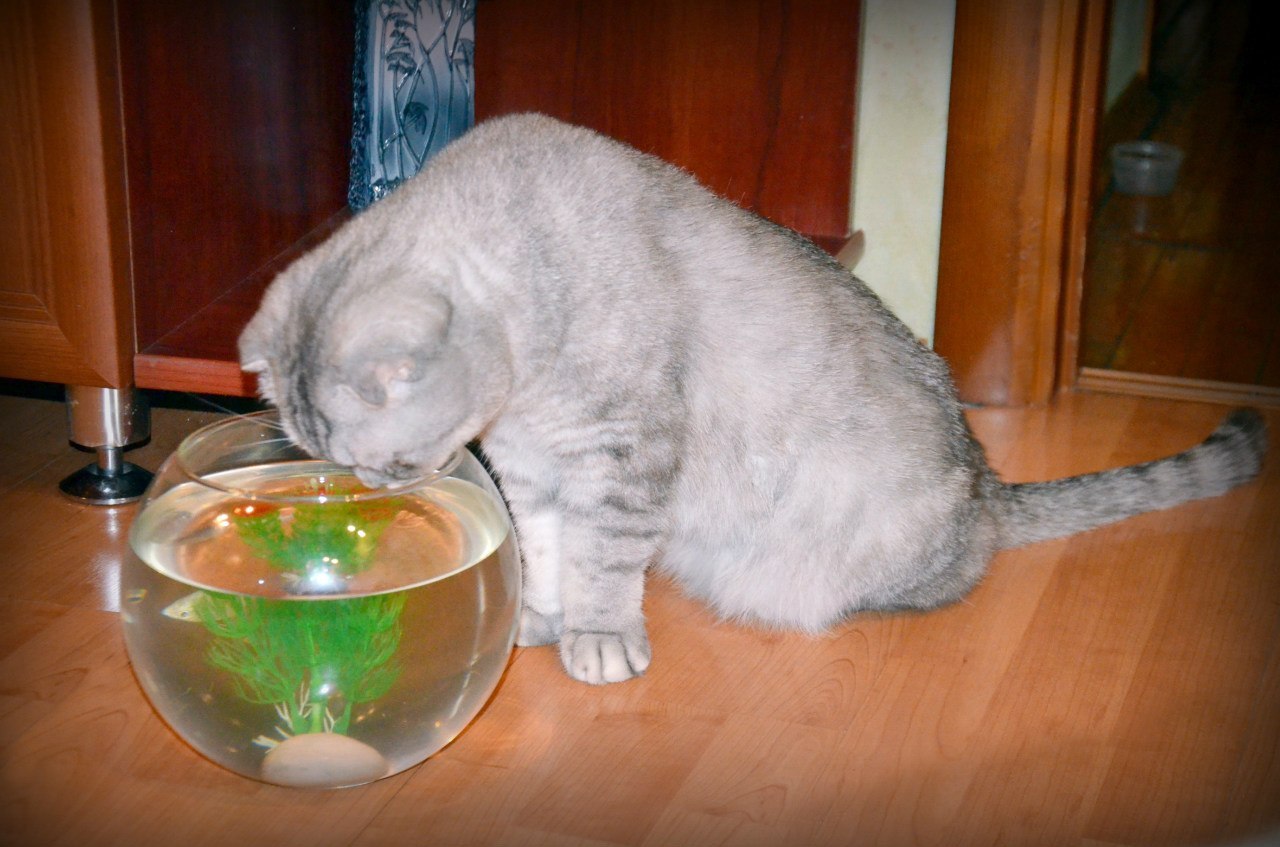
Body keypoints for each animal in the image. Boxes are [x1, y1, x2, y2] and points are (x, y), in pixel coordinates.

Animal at [241, 112, 1269, 685]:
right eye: (342, 467)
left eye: (391, 463)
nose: (383, 490)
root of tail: (987, 485)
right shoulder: (532, 468)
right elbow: (546, 550)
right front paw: (542, 613)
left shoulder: (625, 454)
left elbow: (602, 562)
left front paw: (596, 634)